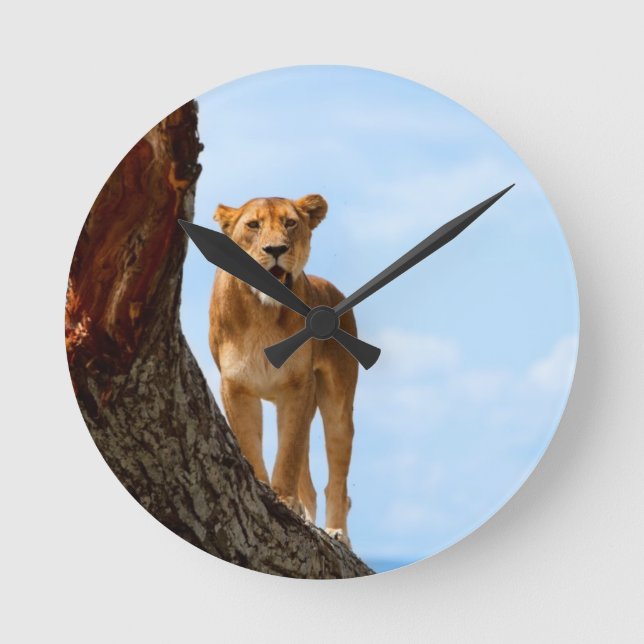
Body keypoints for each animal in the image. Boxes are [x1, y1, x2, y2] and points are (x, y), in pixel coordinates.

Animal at [208, 194, 358, 546]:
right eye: (253, 225)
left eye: (290, 223)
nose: (276, 249)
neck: (263, 311)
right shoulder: (236, 387)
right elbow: (251, 444)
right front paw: (263, 489)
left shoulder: (297, 386)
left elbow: (288, 454)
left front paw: (285, 501)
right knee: (311, 485)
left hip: (336, 403)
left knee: (337, 480)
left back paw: (336, 532)